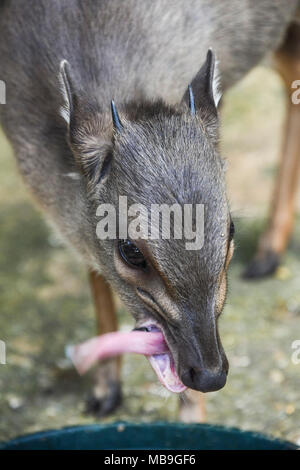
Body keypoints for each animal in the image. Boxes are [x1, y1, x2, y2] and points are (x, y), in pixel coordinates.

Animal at [0, 0, 298, 418]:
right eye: (131, 251)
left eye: (231, 230)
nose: (209, 373)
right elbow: (93, 265)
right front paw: (105, 390)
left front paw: (191, 419)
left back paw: (270, 249)